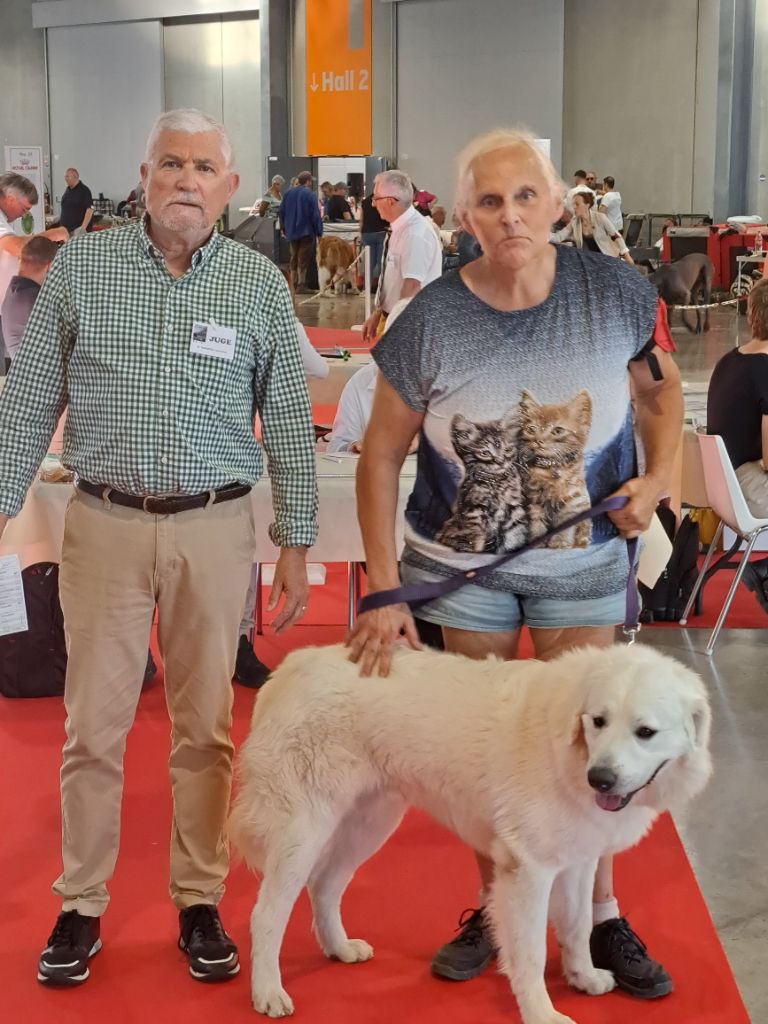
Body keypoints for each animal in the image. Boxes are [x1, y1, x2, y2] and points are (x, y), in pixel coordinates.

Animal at [229, 643, 711, 1024]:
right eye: (598, 721)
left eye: (645, 732)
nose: (602, 779)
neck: (571, 755)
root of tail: (293, 665)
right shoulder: (529, 871)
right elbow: (532, 953)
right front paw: (541, 1013)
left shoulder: (578, 860)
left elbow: (576, 926)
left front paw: (584, 976)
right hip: (304, 832)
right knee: (267, 914)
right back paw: (268, 992)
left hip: (369, 823)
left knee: (325, 886)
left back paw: (339, 948)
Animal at [436, 410, 526, 553]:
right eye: (485, 453)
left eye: (507, 450)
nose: (500, 462)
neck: (496, 483)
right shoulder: (474, 508)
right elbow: (476, 535)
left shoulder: (514, 507)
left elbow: (515, 533)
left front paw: (513, 548)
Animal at [518, 388, 593, 549]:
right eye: (532, 429)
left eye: (558, 431)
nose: (538, 440)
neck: (551, 467)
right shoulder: (534, 500)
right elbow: (536, 524)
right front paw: (537, 543)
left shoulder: (572, 500)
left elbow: (565, 524)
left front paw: (559, 542)